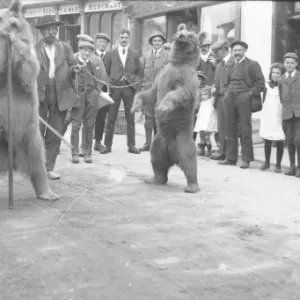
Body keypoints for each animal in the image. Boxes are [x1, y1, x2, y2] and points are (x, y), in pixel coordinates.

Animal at [0, 1, 59, 202]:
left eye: (14, 24)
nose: (5, 32)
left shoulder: (25, 63)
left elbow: (29, 67)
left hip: (31, 135)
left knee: (38, 163)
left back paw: (48, 193)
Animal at [132, 22, 200, 192]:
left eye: (191, 35)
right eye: (181, 30)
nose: (180, 35)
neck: (177, 62)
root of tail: (173, 156)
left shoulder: (186, 77)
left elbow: (182, 93)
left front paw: (163, 107)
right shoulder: (161, 77)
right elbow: (149, 95)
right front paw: (135, 106)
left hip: (182, 137)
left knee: (189, 160)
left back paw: (192, 186)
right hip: (160, 141)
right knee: (157, 160)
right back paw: (155, 179)